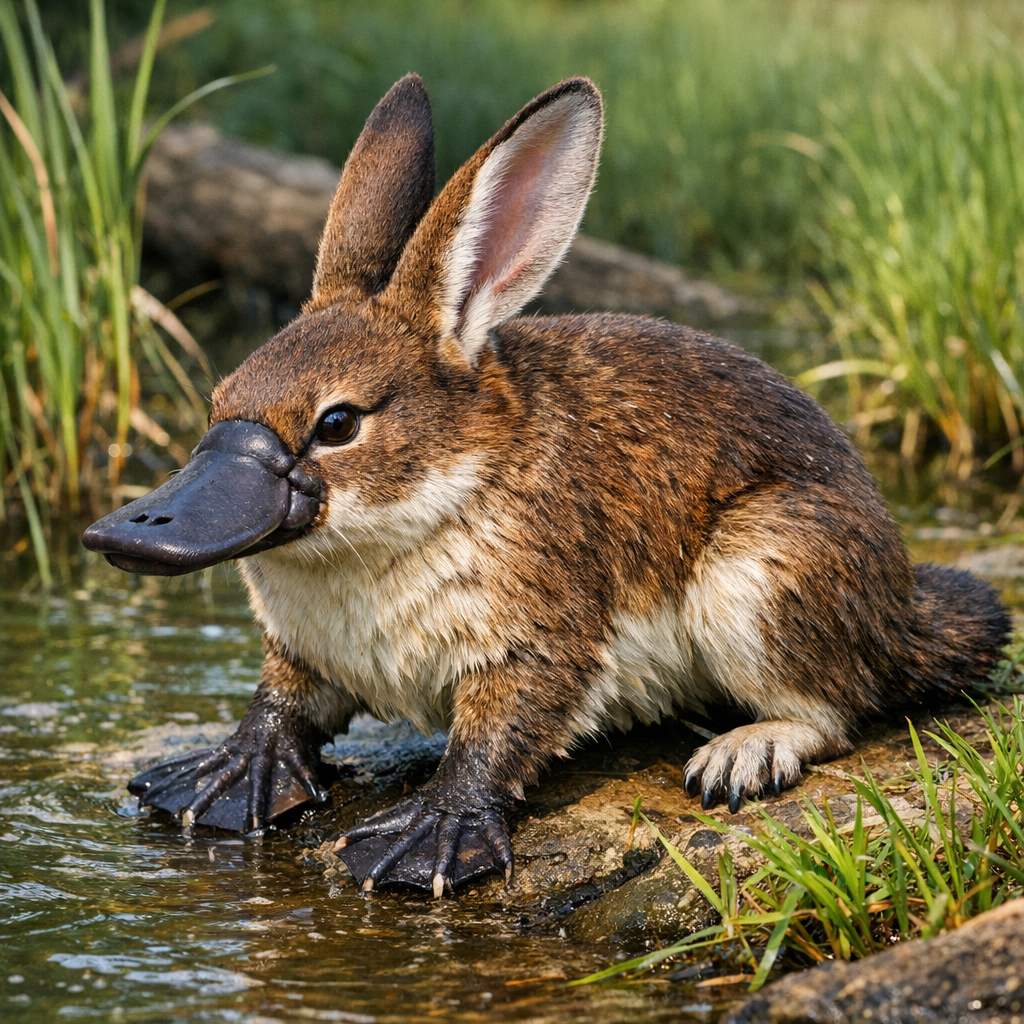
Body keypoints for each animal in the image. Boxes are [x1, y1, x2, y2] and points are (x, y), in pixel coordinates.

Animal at [83, 74, 1011, 897]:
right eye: (219, 399)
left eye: (337, 422)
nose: (127, 531)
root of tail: (904, 607)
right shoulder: (299, 645)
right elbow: (283, 700)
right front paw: (216, 777)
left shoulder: (541, 623)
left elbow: (503, 730)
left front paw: (425, 839)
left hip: (765, 569)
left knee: (840, 705)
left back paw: (742, 754)